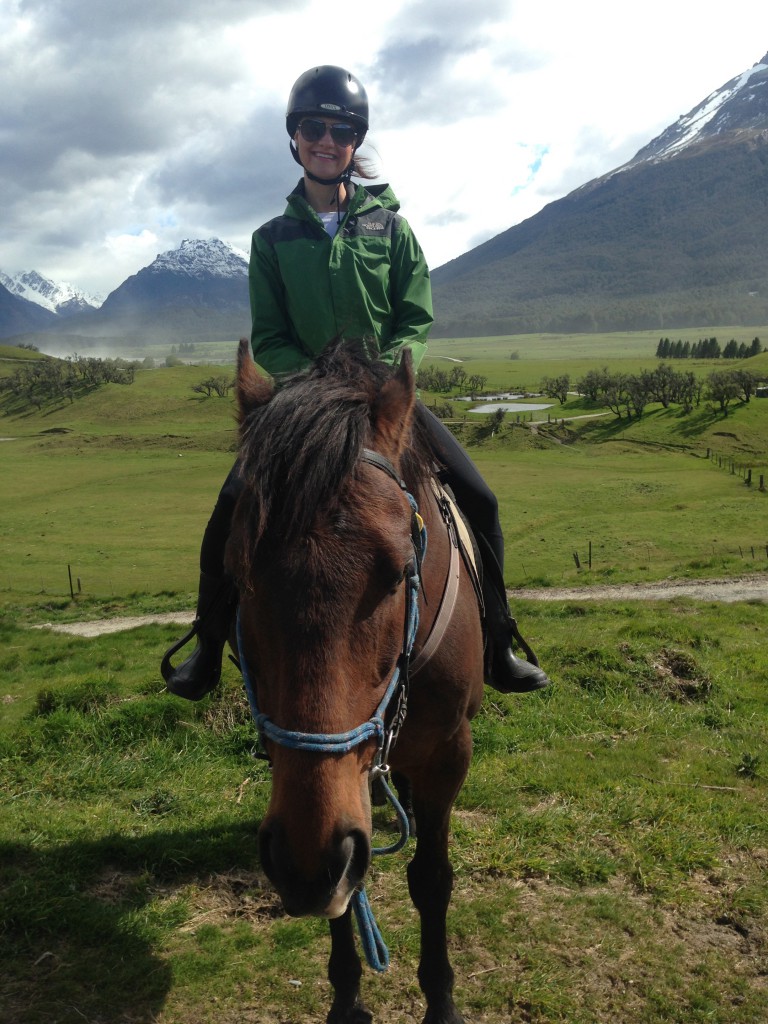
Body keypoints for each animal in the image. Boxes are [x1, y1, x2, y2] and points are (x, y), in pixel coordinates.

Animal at [225, 337, 483, 1024]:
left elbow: (432, 879)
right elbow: (344, 890)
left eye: (397, 573)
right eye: (238, 574)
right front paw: (346, 996)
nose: (306, 868)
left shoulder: (450, 751)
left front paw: (441, 999)